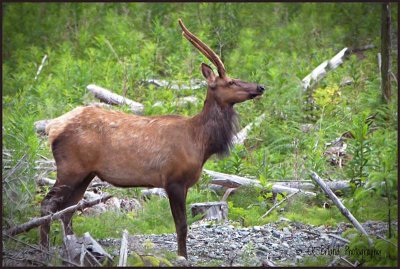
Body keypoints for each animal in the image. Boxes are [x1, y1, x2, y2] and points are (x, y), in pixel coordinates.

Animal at [39, 19, 266, 258]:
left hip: (86, 173)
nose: (260, 87)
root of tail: (53, 127)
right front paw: (182, 256)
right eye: (231, 82)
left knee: (68, 210)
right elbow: (181, 225)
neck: (201, 143)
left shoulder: (182, 183)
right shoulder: (173, 180)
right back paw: (44, 249)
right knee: (48, 205)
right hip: (70, 168)